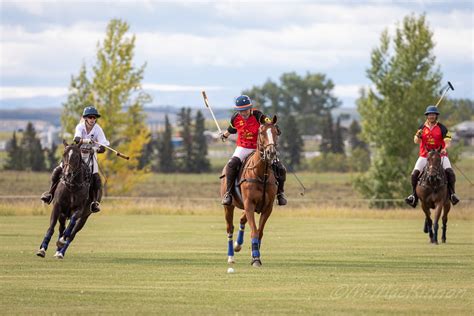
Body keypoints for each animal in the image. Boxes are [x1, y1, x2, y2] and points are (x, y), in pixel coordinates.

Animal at [220, 116, 280, 266]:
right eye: (261, 132)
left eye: (276, 132)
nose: (271, 153)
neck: (261, 174)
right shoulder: (249, 204)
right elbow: (254, 231)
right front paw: (256, 258)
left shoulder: (267, 208)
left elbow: (259, 232)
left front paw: (255, 255)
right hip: (229, 205)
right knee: (230, 228)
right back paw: (231, 256)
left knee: (242, 220)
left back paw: (238, 245)